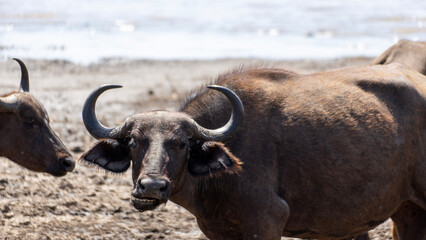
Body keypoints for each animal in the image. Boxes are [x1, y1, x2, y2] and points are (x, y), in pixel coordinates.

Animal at [79, 62, 422, 239]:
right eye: (134, 141)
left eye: (182, 143)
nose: (151, 187)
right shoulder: (218, 231)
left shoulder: (266, 222)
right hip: (407, 212)